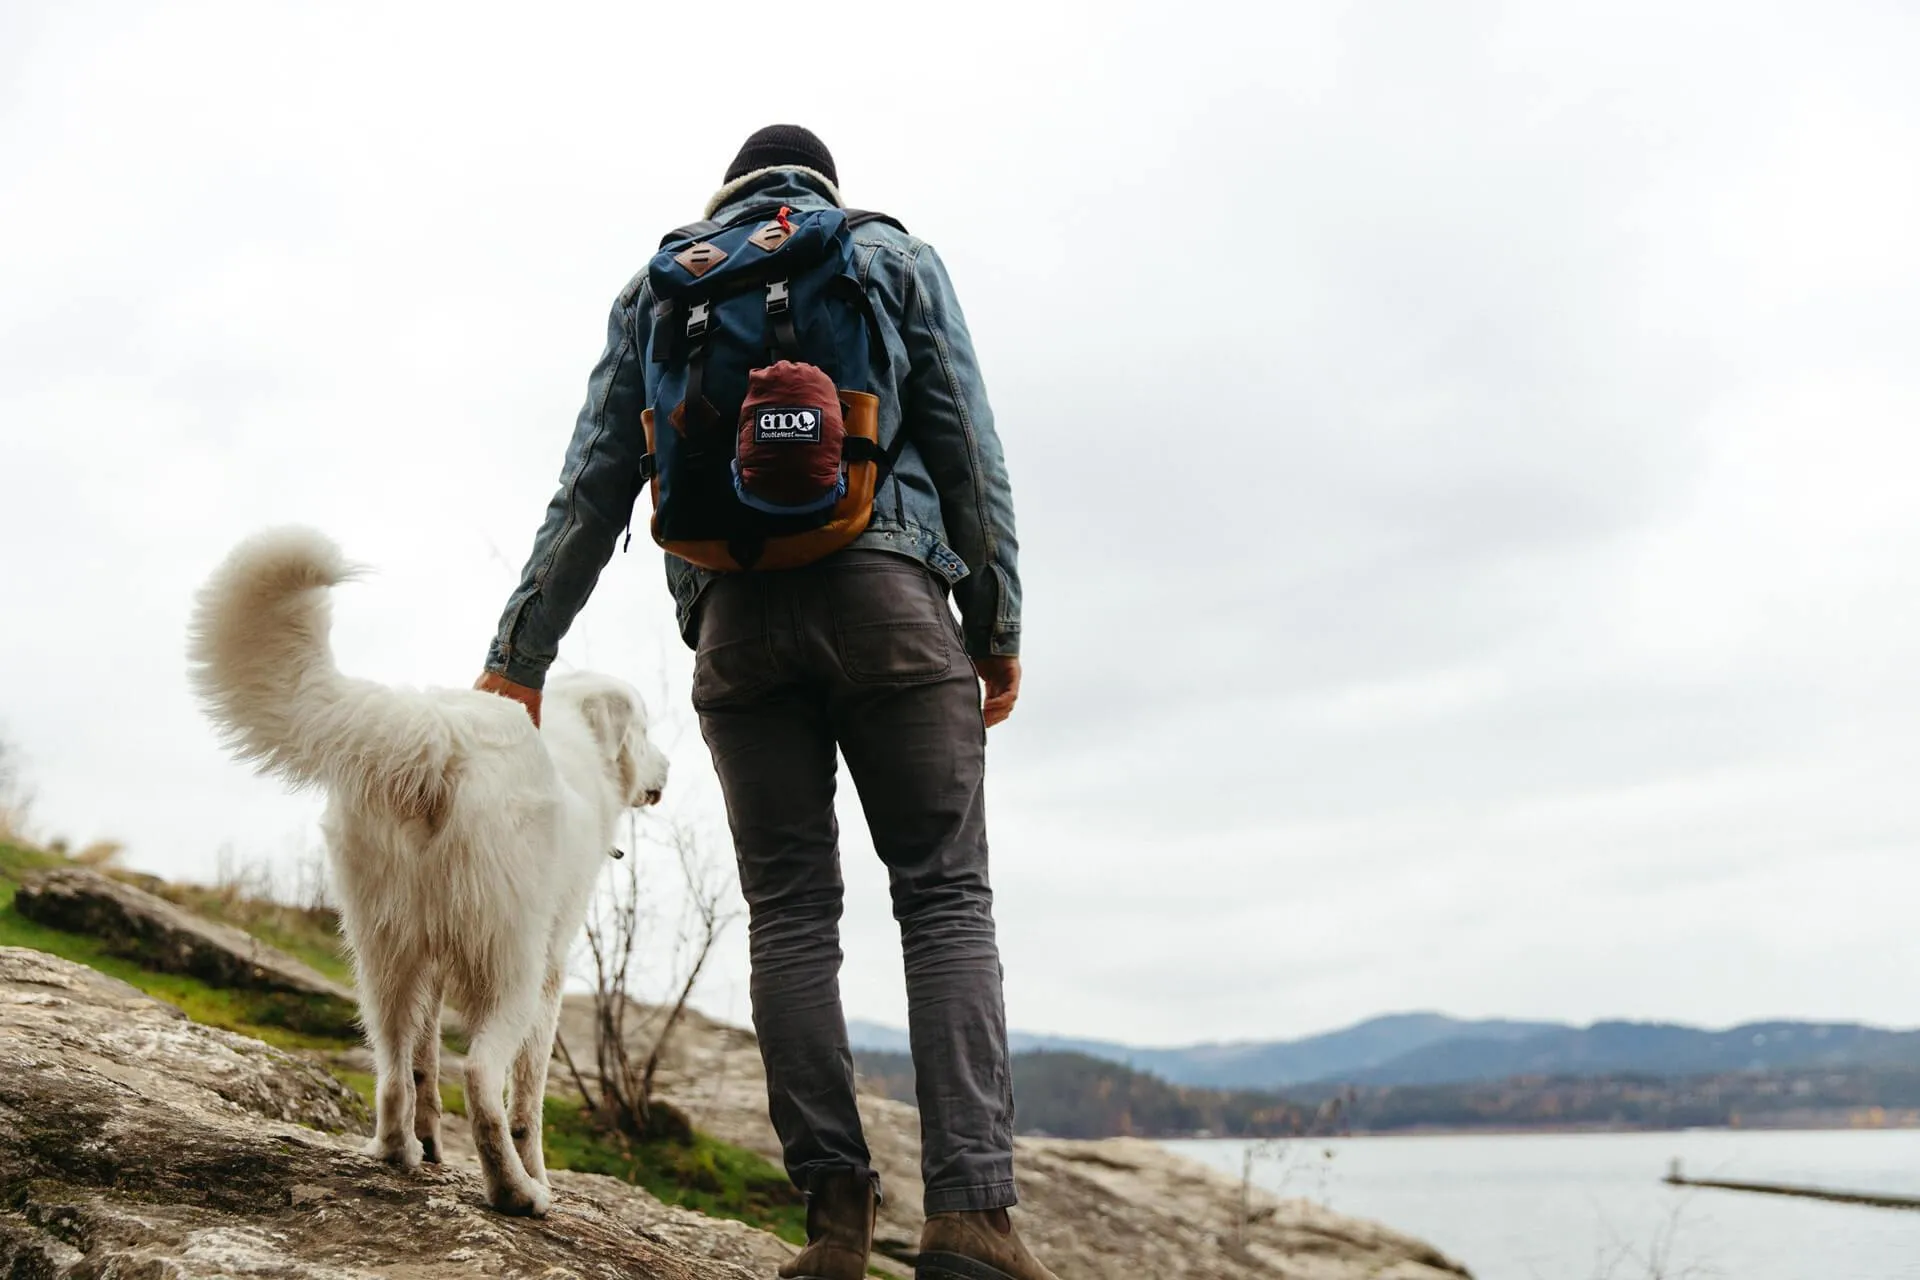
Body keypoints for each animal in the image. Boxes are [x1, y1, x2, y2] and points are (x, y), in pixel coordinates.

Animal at [187, 525, 668, 1220]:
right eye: (647, 728)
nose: (666, 770)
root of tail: (439, 735)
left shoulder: (433, 969)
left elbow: (423, 1064)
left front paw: (433, 1141)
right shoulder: (551, 974)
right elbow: (528, 1100)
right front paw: (538, 1171)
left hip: (382, 953)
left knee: (392, 1069)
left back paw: (399, 1152)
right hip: (512, 966)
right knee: (482, 1079)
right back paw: (516, 1191)